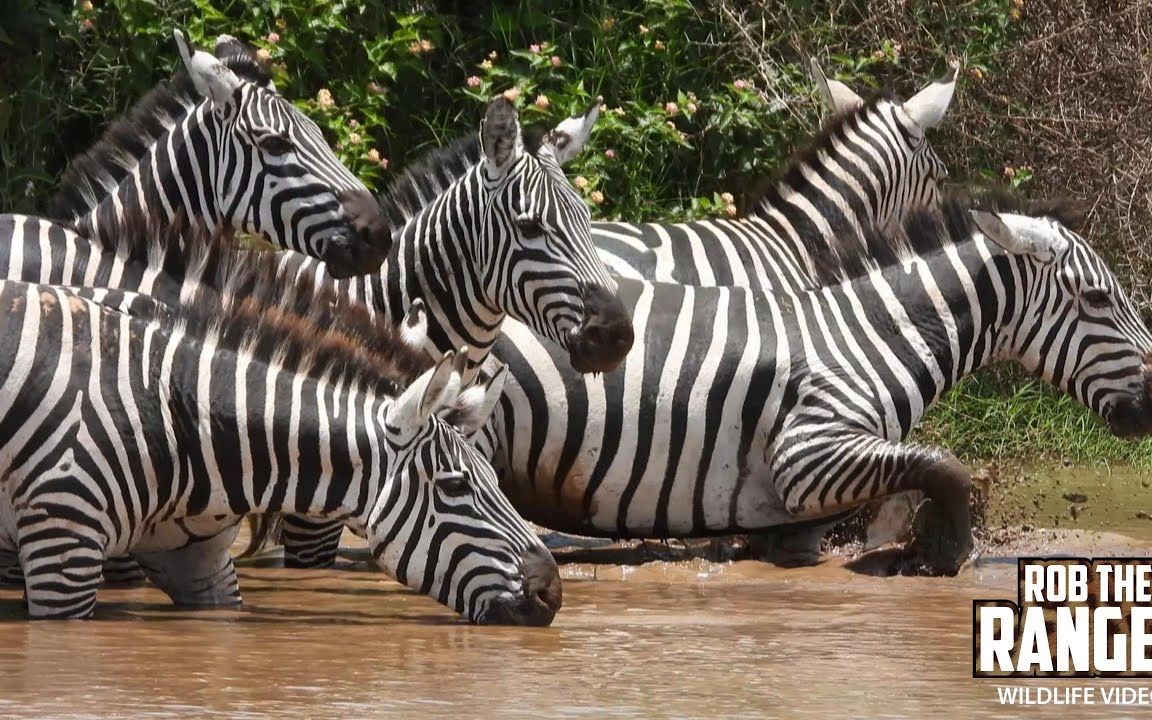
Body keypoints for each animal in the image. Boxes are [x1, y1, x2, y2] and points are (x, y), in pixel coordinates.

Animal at [0, 214, 562, 622]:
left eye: (495, 480)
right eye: (455, 486)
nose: (551, 594)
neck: (177, 415)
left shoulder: (194, 559)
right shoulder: (62, 541)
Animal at [483, 190, 1152, 573]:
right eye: (1098, 298)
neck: (867, 337)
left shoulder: (798, 502)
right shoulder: (807, 451)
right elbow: (944, 465)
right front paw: (942, 550)